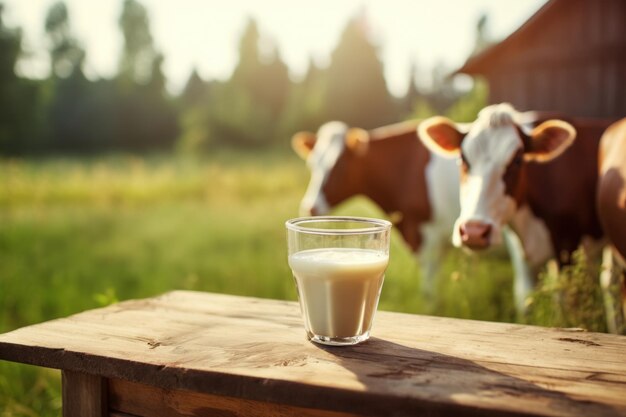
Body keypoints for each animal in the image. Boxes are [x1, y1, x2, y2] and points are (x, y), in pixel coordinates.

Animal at [416, 103, 608, 316]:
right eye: (462, 158)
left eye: (517, 160)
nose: (474, 232)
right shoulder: (521, 255)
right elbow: (525, 301)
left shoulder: (567, 249)